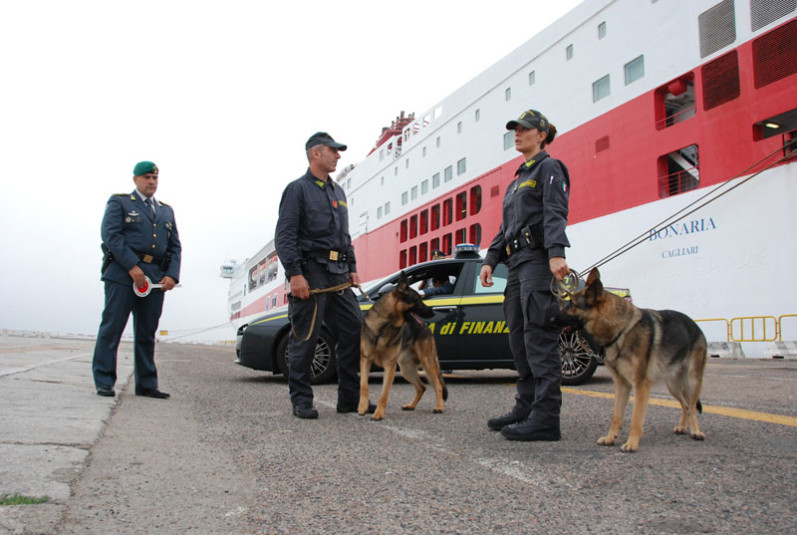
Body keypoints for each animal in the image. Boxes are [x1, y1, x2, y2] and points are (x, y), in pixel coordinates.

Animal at [358, 274, 444, 420]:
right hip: (406, 369)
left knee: (438, 385)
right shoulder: (365, 360)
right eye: (417, 299)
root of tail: (426, 327)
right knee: (422, 387)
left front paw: (379, 414)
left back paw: (439, 407)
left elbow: (384, 394)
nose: (432, 312)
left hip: (428, 363)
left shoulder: (389, 366)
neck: (385, 325)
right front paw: (363, 407)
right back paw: (411, 405)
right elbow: (364, 386)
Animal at [556, 268, 704, 452]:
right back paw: (683, 427)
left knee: (692, 405)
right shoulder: (622, 384)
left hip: (692, 380)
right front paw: (610, 438)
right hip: (673, 385)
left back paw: (696, 431)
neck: (621, 329)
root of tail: (694, 323)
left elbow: (635, 418)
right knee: (686, 405)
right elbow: (616, 414)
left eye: (572, 305)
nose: (551, 318)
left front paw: (632, 443)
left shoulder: (640, 385)